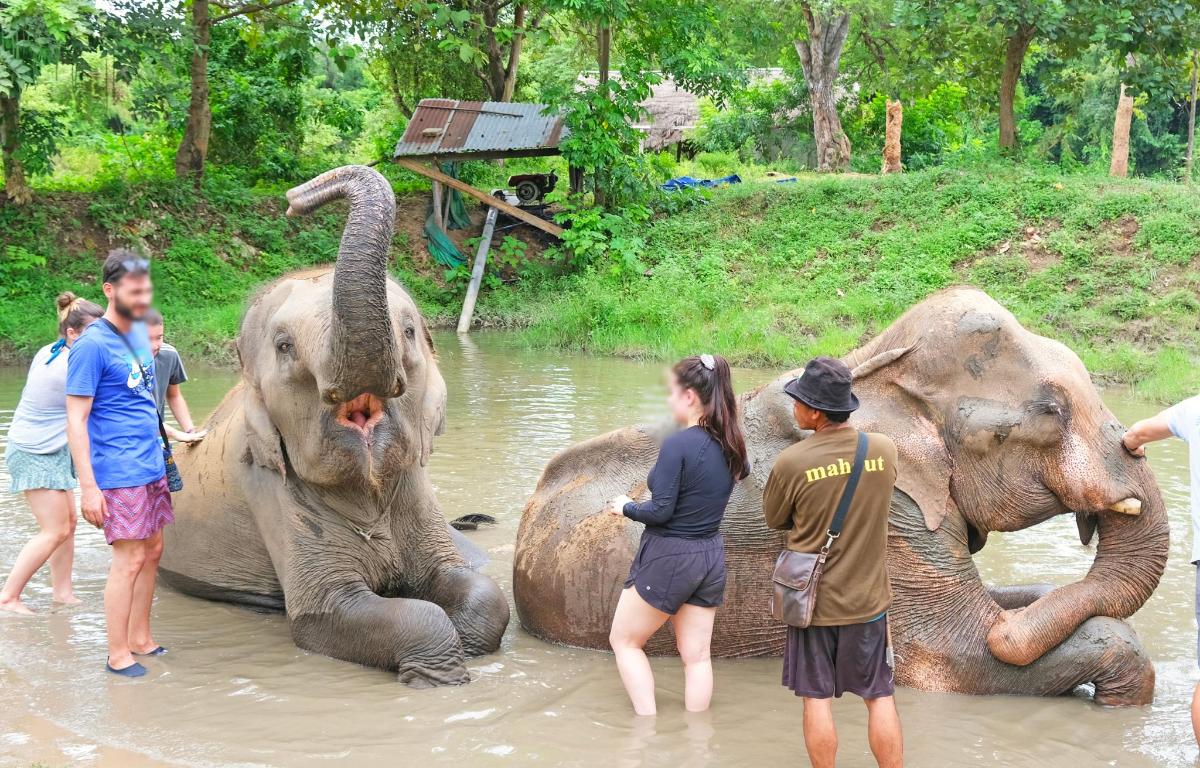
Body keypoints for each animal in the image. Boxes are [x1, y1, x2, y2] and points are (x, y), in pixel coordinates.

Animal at [160, 166, 511, 681]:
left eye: (409, 332)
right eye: (284, 346)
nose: (294, 200)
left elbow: (475, 590)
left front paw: (464, 645)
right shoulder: (269, 489)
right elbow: (325, 611)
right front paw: (440, 675)